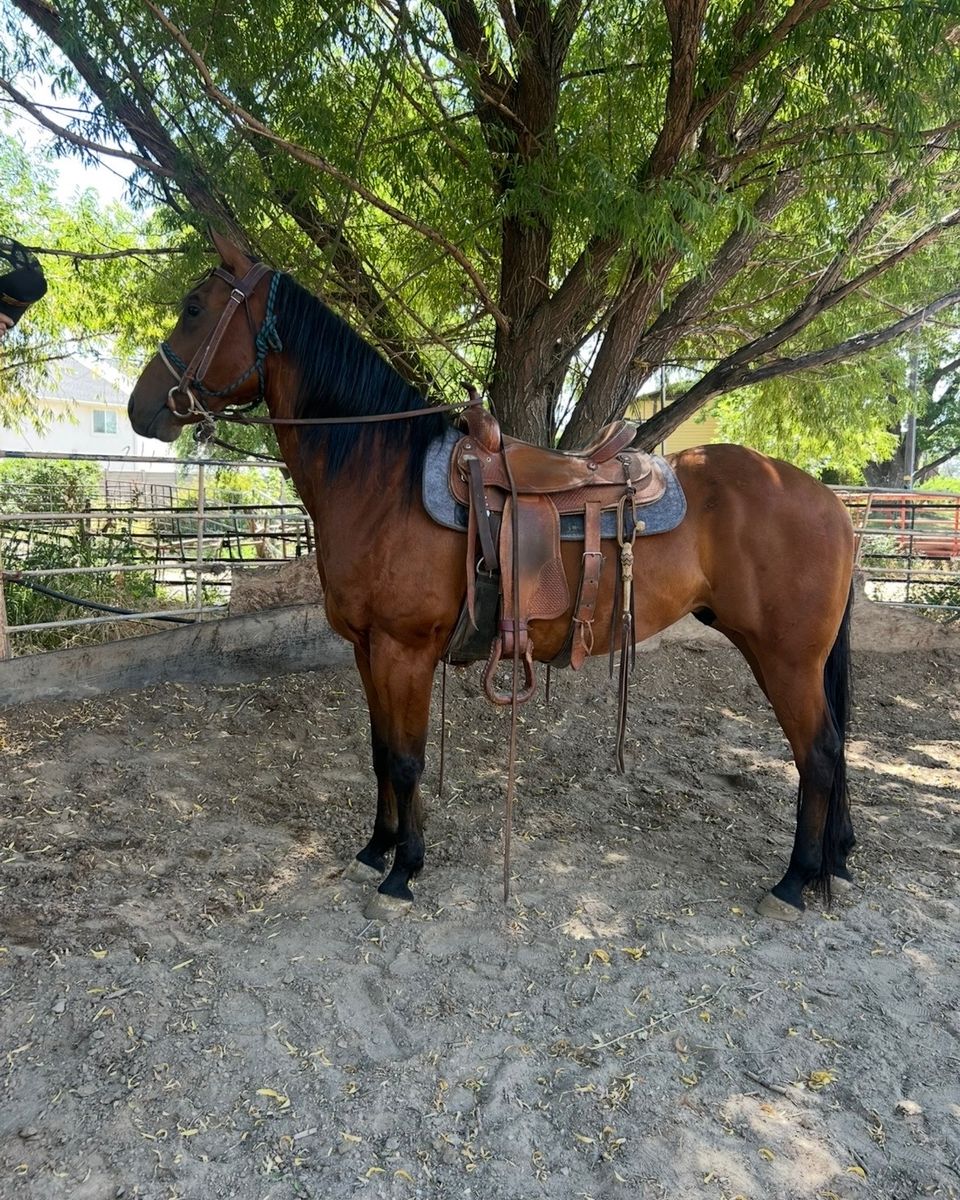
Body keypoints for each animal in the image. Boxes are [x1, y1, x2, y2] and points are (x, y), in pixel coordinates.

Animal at [129, 231, 856, 924]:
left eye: (194, 308)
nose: (140, 408)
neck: (381, 479)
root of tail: (826, 500)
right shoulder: (366, 649)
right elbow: (379, 751)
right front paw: (375, 850)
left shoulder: (404, 651)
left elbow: (406, 759)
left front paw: (403, 873)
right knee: (833, 749)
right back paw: (834, 865)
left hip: (786, 657)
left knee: (818, 753)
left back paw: (793, 883)